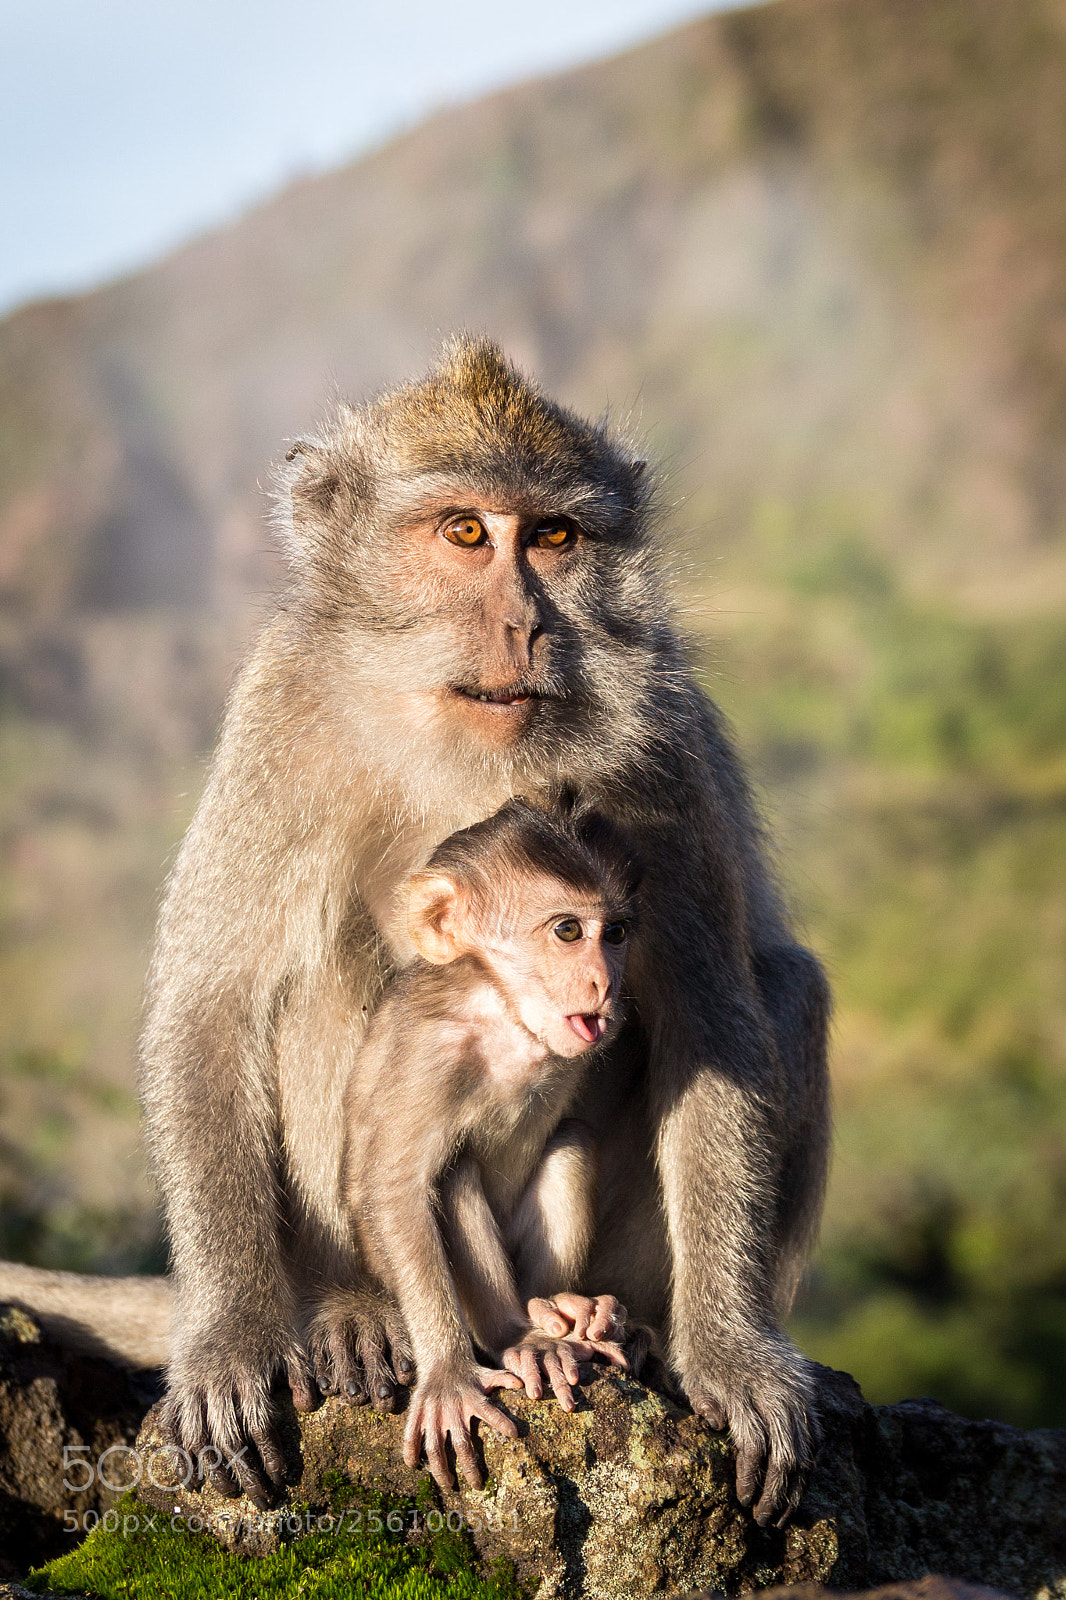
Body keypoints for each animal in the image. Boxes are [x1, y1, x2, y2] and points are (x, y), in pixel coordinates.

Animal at [337, 797, 637, 1491]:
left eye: (613, 934)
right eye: (567, 931)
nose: (604, 984)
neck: (503, 1012)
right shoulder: (430, 1056)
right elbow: (395, 1189)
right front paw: (448, 1374)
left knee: (571, 1143)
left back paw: (559, 1311)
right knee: (453, 1173)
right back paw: (517, 1334)